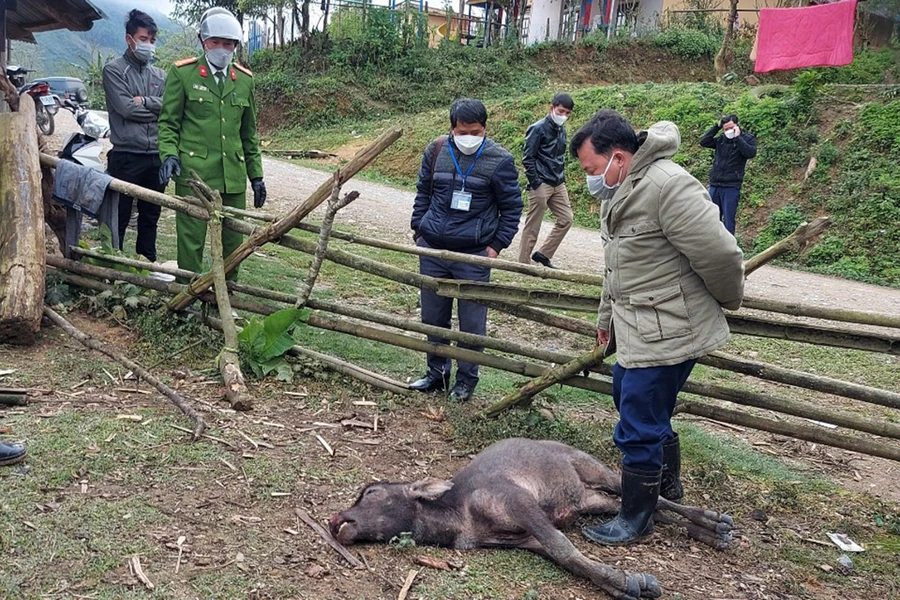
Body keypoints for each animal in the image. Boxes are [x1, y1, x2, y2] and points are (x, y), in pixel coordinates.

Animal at [330, 436, 732, 600]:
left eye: (371, 493)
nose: (336, 520)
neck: (459, 521)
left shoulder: (521, 502)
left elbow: (565, 549)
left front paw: (629, 580)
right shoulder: (525, 538)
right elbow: (565, 557)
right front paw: (627, 582)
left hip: (595, 470)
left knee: (654, 496)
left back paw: (716, 522)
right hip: (588, 500)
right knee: (645, 510)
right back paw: (707, 532)